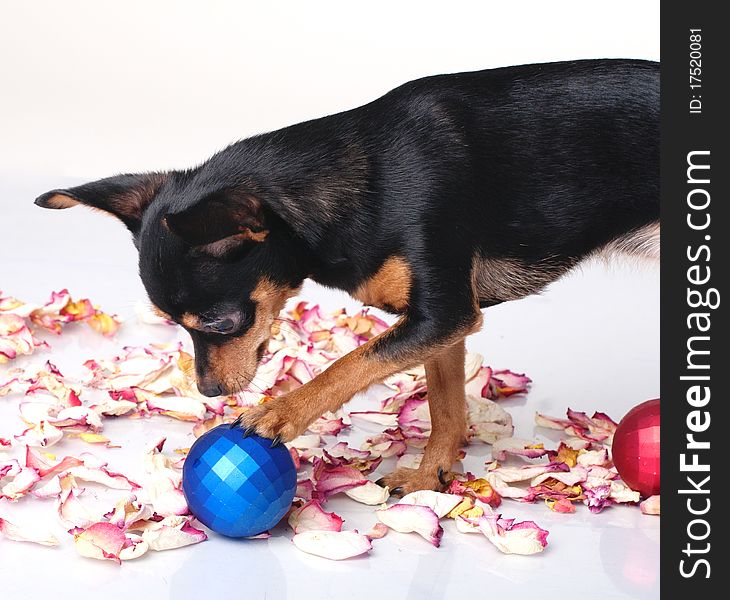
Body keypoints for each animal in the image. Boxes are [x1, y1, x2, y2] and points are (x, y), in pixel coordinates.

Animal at [35, 58, 660, 494]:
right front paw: (431, 475)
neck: (363, 182)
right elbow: (444, 405)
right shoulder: (439, 326)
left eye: (221, 322)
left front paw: (280, 413)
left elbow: (350, 363)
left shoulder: (443, 315)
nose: (208, 392)